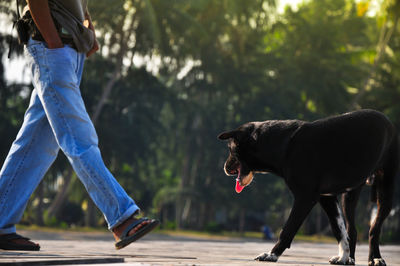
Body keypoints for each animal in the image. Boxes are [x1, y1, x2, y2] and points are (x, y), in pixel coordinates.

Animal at [220, 109, 398, 264]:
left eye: (230, 148)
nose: (225, 168)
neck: (283, 145)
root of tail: (387, 119)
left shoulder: (305, 198)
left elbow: (288, 229)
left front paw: (272, 254)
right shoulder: (327, 197)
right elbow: (339, 230)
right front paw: (343, 257)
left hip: (385, 192)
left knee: (374, 229)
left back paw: (376, 258)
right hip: (350, 195)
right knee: (352, 230)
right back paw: (351, 259)